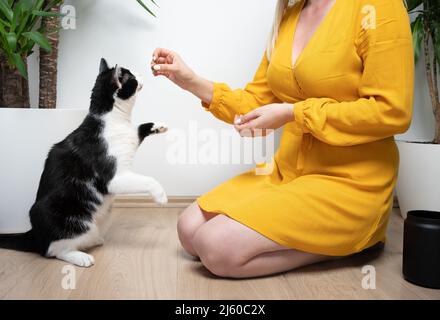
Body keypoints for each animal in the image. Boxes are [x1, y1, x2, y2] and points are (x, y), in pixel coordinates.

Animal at [0, 58, 168, 268]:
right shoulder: (114, 178)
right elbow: (148, 180)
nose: (141, 73)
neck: (115, 119)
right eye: (132, 77)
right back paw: (80, 257)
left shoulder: (130, 137)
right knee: (53, 250)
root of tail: (33, 234)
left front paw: (158, 125)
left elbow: (138, 130)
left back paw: (94, 241)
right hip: (71, 220)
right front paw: (161, 196)